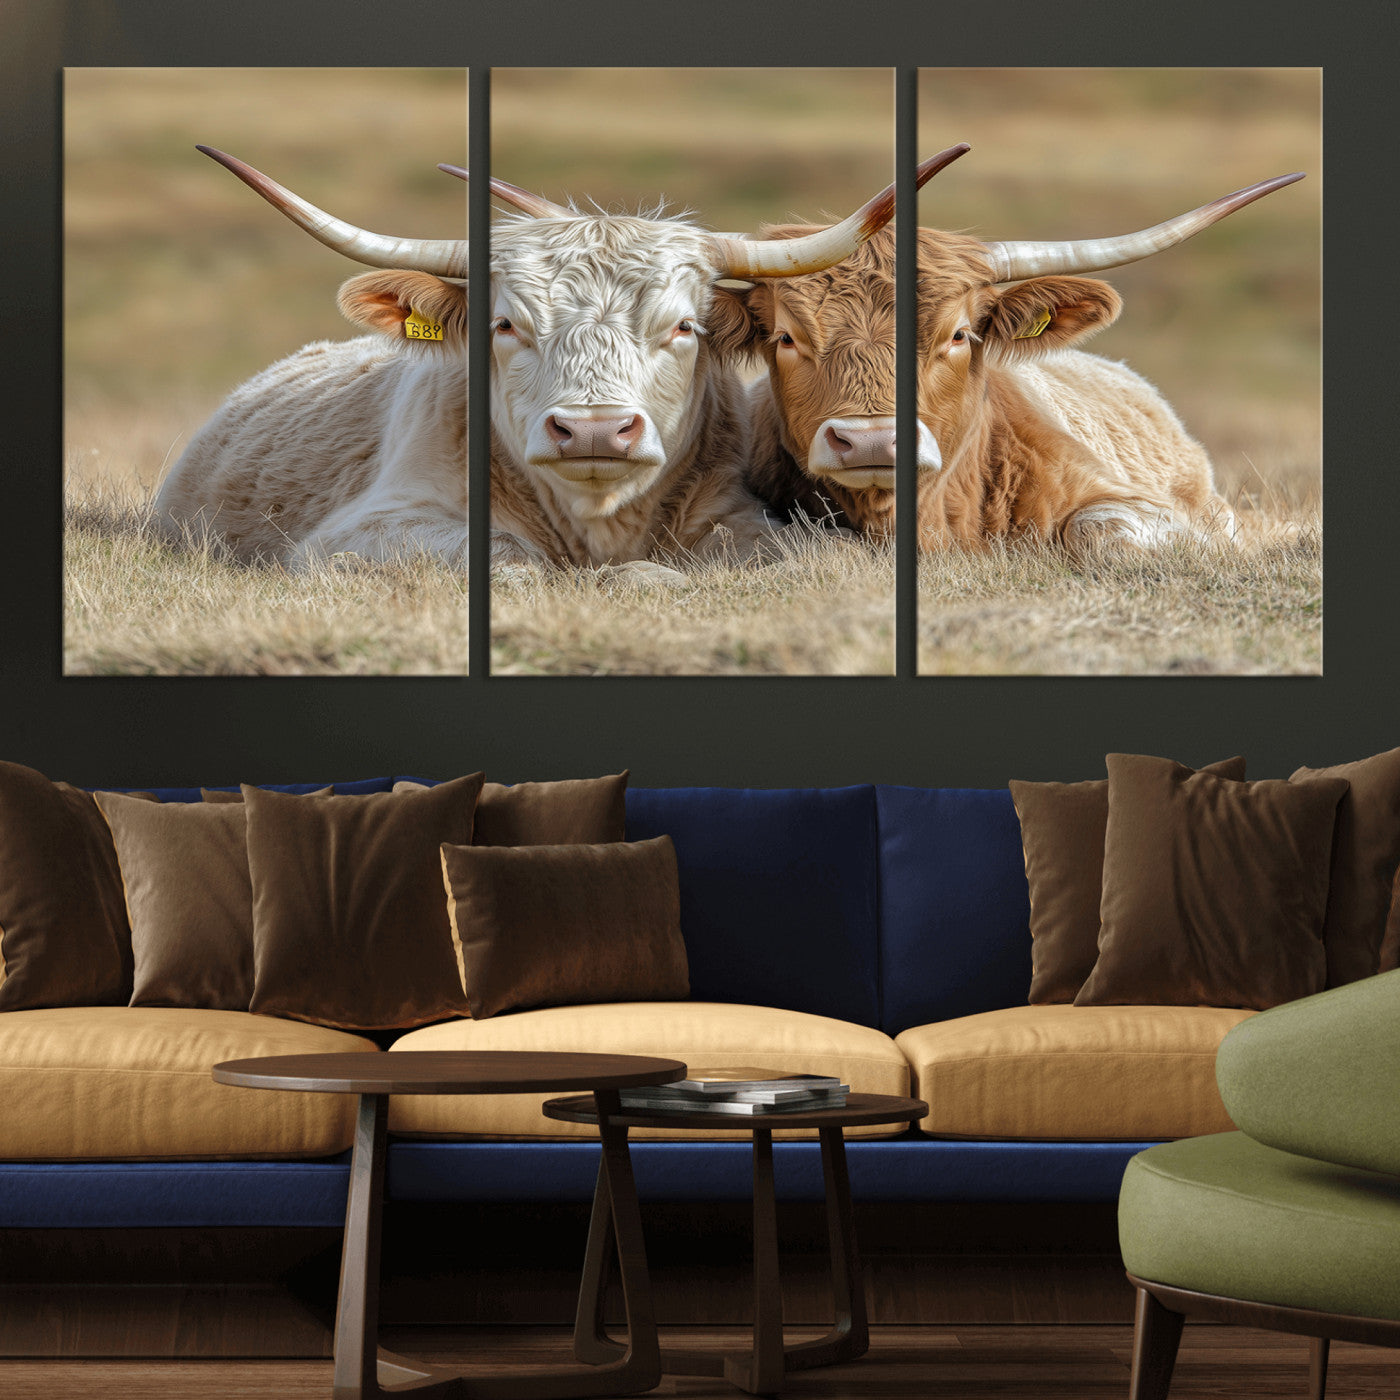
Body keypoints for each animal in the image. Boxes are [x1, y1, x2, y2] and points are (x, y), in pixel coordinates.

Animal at [154, 145, 939, 577]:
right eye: (506, 325)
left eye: (684, 327)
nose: (593, 430)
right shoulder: (367, 529)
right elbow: (510, 557)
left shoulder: (741, 515)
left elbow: (809, 556)